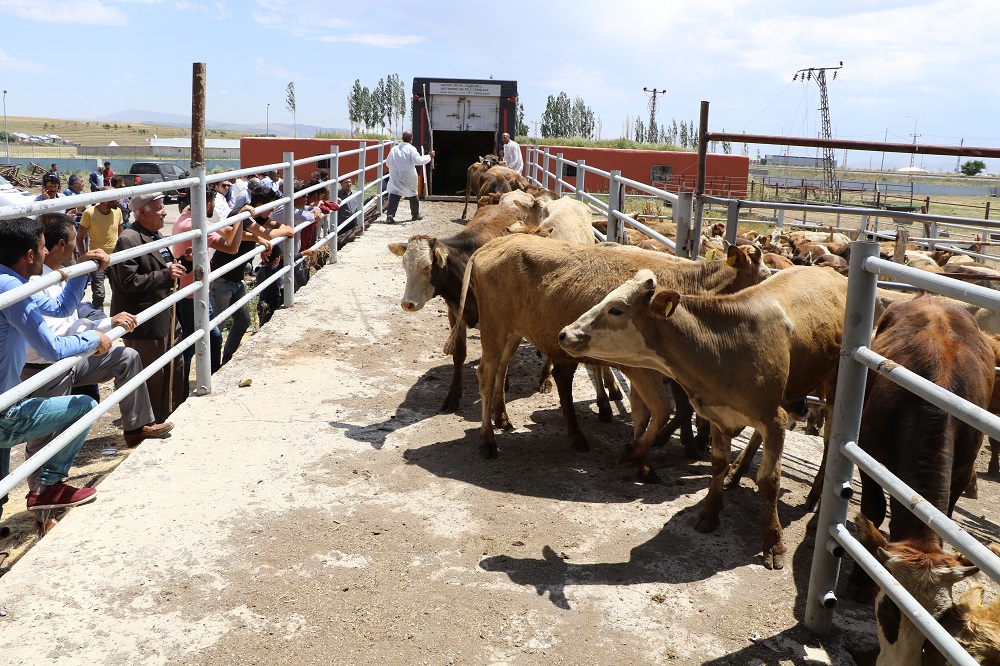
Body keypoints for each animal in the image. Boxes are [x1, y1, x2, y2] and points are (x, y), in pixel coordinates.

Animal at [560, 264, 848, 564]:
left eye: (616, 309)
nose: (565, 334)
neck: (723, 348)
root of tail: (831, 272)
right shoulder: (719, 415)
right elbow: (718, 464)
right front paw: (710, 512)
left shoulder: (773, 419)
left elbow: (769, 481)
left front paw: (773, 543)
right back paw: (737, 472)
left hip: (833, 385)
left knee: (829, 441)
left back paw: (815, 496)